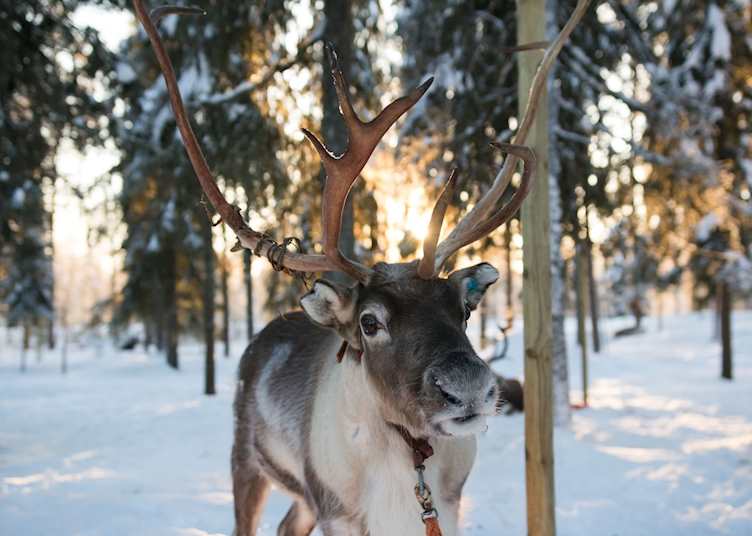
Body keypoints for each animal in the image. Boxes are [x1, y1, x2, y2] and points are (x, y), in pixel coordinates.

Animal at [131, 1, 590, 534]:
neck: (408, 457)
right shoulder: (340, 512)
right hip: (249, 463)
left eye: (464, 311)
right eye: (370, 323)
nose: (468, 388)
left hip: (305, 499)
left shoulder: (448, 506)